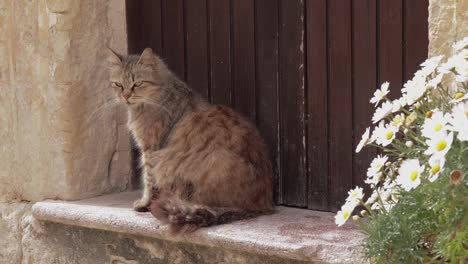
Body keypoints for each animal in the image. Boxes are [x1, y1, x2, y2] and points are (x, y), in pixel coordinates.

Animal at [107, 48, 272, 232]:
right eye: (118, 85)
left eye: (137, 84)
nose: (125, 96)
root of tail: (262, 204)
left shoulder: (150, 150)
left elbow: (148, 180)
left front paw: (144, 203)